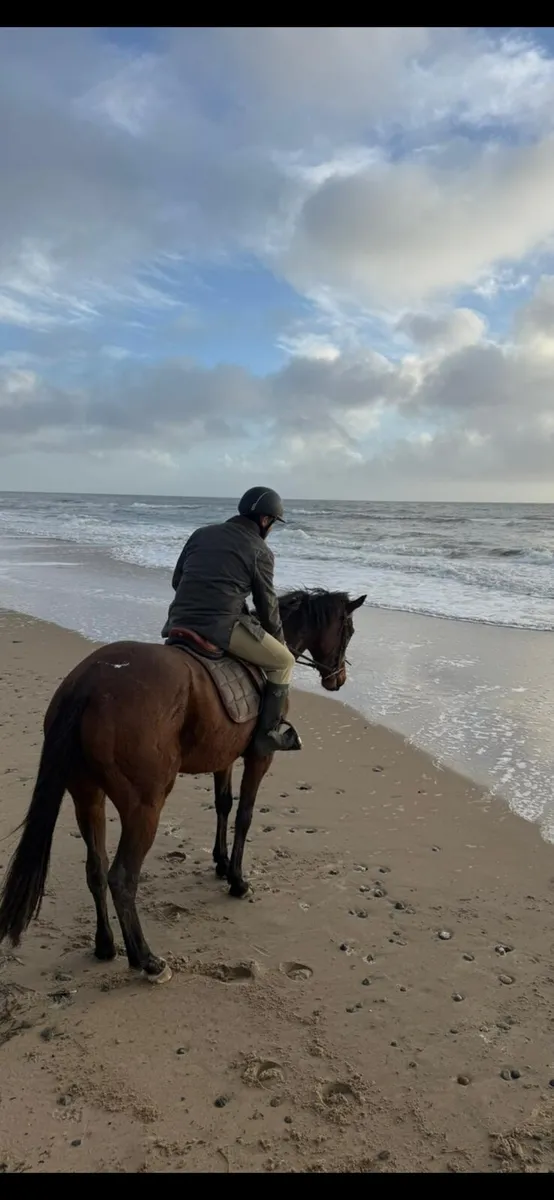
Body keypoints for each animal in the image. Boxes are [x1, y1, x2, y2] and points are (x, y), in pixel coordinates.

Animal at [0, 588, 366, 984]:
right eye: (349, 630)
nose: (338, 679)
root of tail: (89, 681)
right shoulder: (259, 757)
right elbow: (244, 815)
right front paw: (237, 880)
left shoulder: (224, 757)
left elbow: (223, 804)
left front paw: (221, 862)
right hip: (144, 805)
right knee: (122, 877)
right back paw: (145, 959)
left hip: (87, 796)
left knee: (96, 869)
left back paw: (105, 945)